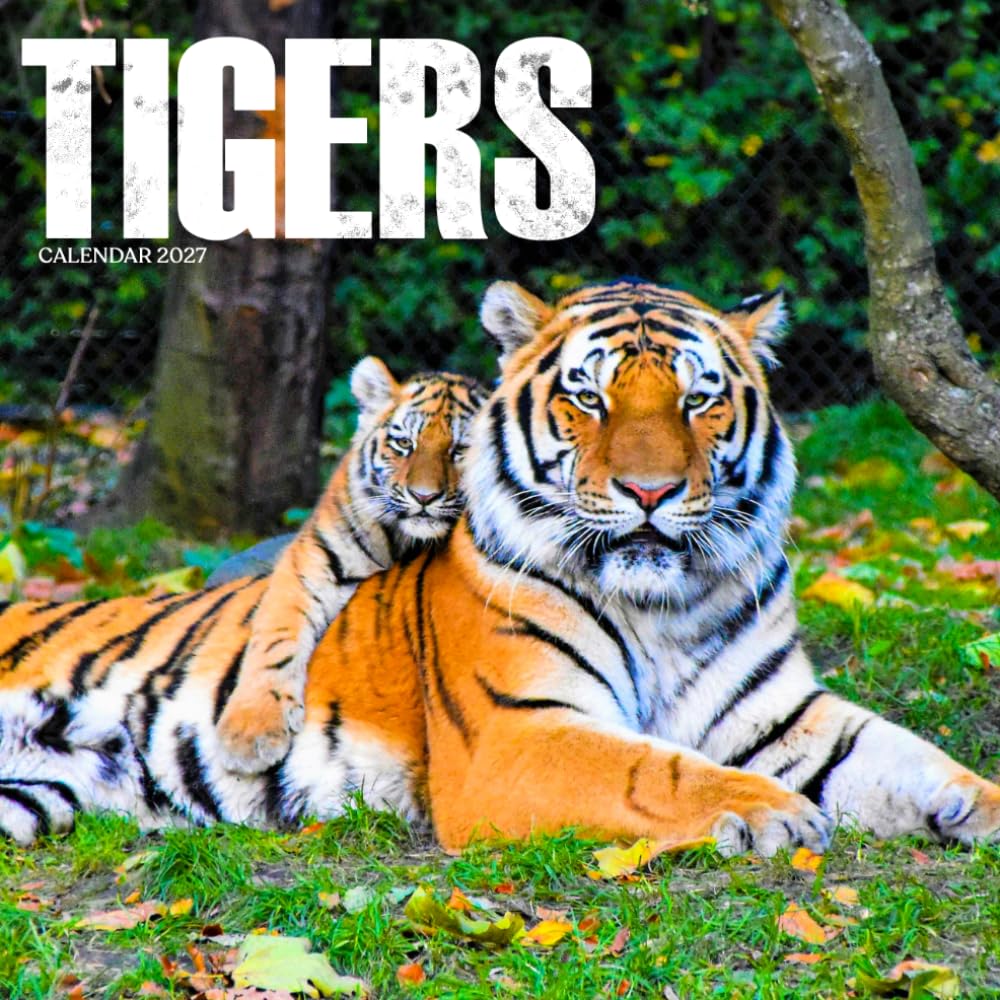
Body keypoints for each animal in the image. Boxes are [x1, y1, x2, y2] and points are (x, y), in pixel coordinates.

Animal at [214, 357, 487, 773]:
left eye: (460, 449)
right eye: (404, 443)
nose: (424, 497)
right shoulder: (312, 561)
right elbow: (276, 637)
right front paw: (249, 734)